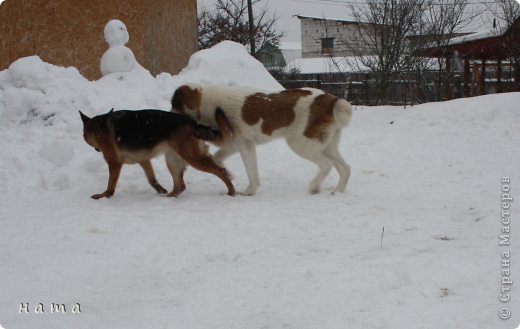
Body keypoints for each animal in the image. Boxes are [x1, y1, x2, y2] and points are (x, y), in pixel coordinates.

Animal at [172, 83, 354, 195]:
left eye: (175, 105)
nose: (169, 116)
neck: (210, 103)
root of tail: (331, 99)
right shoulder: (235, 144)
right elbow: (217, 158)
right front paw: (226, 171)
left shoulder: (245, 145)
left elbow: (251, 170)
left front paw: (249, 191)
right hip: (327, 146)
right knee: (345, 168)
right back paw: (338, 190)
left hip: (300, 144)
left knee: (327, 164)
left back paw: (314, 187)